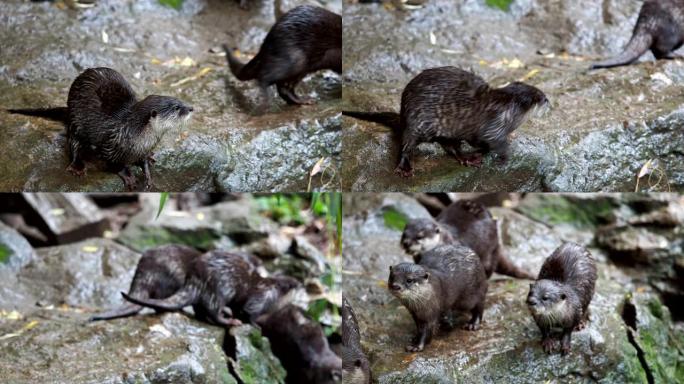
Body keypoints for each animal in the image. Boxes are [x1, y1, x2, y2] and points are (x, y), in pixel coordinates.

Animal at [8, 68, 194, 191]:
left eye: (180, 101)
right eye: (177, 108)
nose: (191, 108)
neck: (131, 132)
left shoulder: (142, 148)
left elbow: (143, 161)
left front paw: (148, 176)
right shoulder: (109, 145)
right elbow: (112, 163)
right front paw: (129, 176)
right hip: (77, 120)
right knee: (73, 142)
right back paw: (77, 166)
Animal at [342, 67, 552, 178]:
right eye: (541, 97)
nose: (549, 101)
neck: (508, 110)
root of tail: (402, 114)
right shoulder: (494, 126)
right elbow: (494, 143)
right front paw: (503, 159)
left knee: (450, 146)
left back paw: (466, 158)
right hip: (415, 123)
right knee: (406, 144)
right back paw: (404, 167)